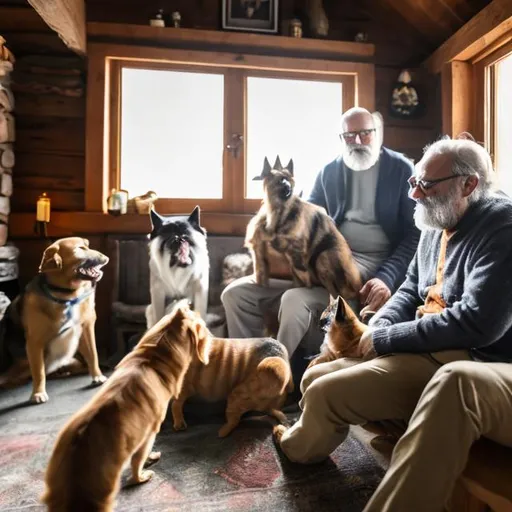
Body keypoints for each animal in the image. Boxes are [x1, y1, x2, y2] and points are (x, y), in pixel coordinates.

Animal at [0, 237, 108, 404]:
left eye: (87, 245)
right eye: (80, 248)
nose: (106, 258)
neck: (66, 296)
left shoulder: (86, 329)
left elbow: (93, 355)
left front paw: (97, 376)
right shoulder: (34, 343)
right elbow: (39, 371)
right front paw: (38, 393)